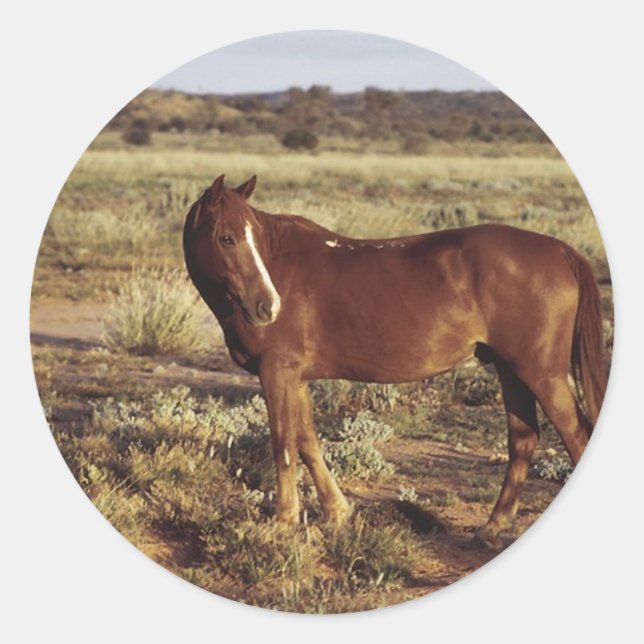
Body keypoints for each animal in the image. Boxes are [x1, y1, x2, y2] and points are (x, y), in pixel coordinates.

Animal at [183, 174, 608, 548]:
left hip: (541, 373)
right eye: (226, 237)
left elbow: (283, 443)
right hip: (512, 371)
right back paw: (490, 529)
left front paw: (284, 522)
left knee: (575, 435)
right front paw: (336, 512)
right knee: (523, 440)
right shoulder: (295, 378)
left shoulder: (277, 373)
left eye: (251, 236)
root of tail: (562, 251)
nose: (267, 307)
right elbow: (307, 441)